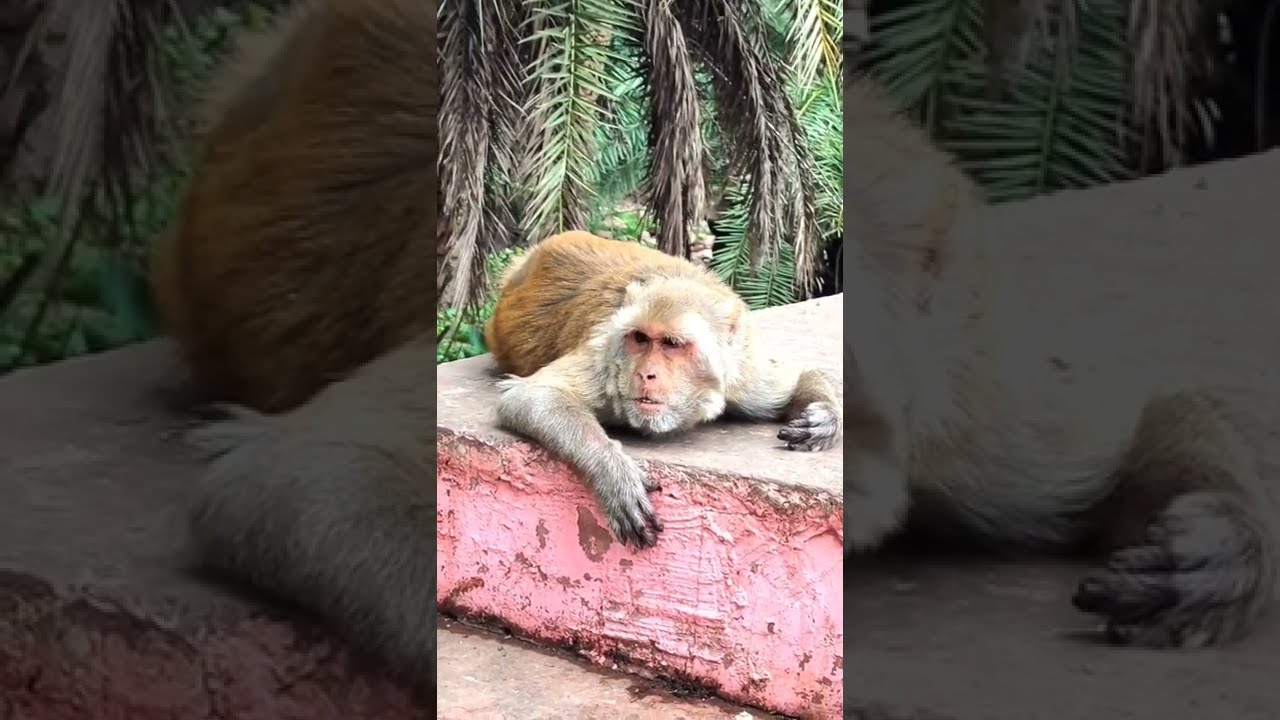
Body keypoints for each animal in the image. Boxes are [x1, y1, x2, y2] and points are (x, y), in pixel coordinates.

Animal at [482, 231, 844, 548]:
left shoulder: (742, 374)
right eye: (640, 339)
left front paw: (823, 418)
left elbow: (794, 382)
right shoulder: (606, 358)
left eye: (671, 344)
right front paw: (614, 474)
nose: (647, 374)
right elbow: (529, 395)